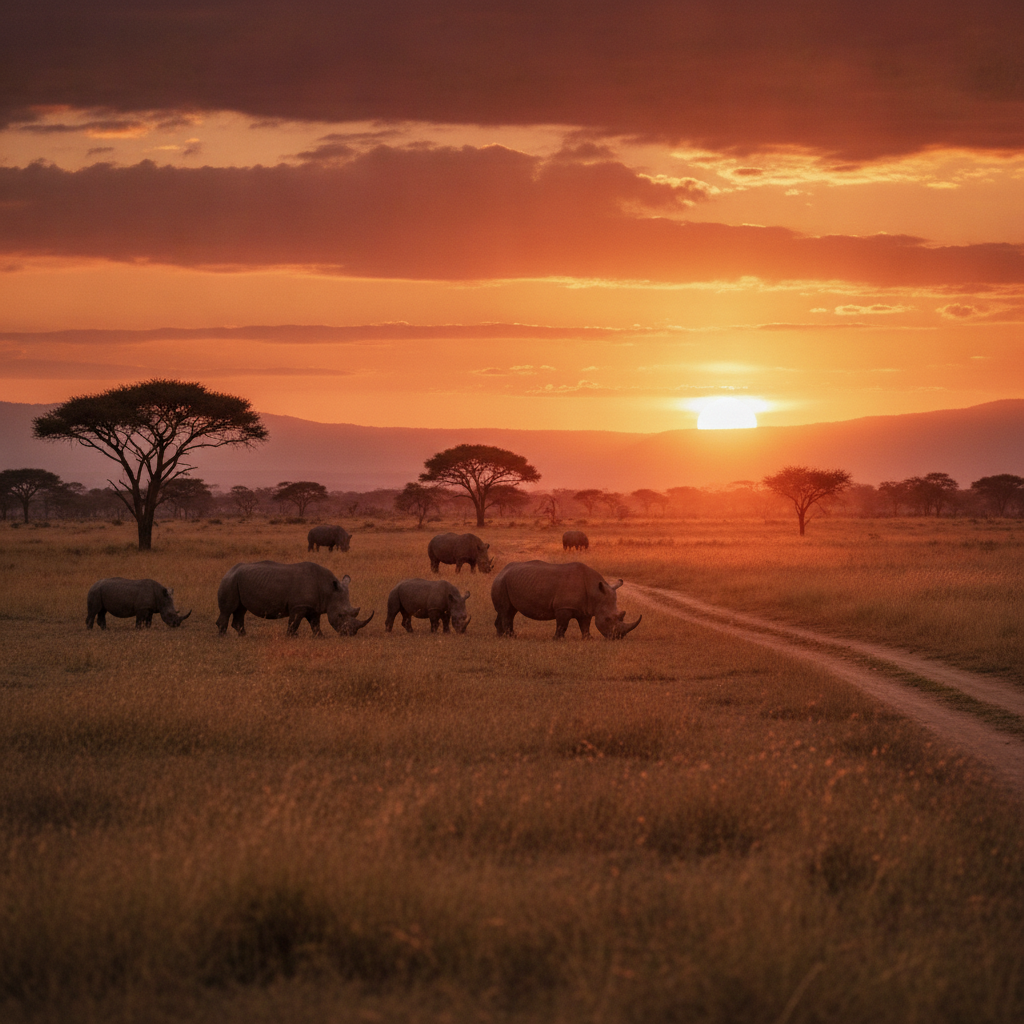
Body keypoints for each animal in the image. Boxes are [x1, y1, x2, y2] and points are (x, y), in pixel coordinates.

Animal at [216, 561, 373, 636]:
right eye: (340, 615)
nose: (351, 633)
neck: (328, 590)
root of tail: (229, 570)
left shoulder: (314, 607)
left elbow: (315, 624)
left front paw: (320, 636)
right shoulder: (299, 606)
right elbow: (294, 623)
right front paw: (292, 637)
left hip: (238, 581)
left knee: (241, 609)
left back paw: (244, 636)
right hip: (230, 581)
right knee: (228, 610)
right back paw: (224, 637)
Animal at [491, 560, 641, 639]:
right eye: (608, 619)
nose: (617, 637)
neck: (596, 593)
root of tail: (500, 571)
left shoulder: (586, 609)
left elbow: (585, 625)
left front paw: (588, 639)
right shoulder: (563, 607)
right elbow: (562, 624)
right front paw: (558, 639)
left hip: (507, 582)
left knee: (509, 611)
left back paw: (502, 636)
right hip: (501, 582)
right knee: (506, 611)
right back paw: (509, 637)